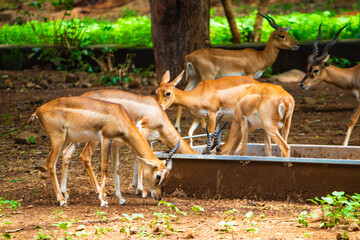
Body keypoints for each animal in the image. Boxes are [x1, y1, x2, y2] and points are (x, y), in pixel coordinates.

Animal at [30, 95, 179, 206]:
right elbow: (104, 168)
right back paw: (62, 200)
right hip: (58, 138)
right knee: (50, 163)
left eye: (167, 176)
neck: (119, 116)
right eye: (158, 176)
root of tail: (38, 111)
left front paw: (121, 199)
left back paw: (64, 195)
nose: (159, 197)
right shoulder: (106, 139)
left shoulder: (115, 144)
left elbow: (116, 168)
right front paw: (103, 200)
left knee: (59, 159)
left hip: (65, 139)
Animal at [58, 88, 197, 202]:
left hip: (77, 136)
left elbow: (140, 159)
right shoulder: (142, 132)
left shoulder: (148, 139)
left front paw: (136, 188)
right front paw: (141, 191)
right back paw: (99, 192)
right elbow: (140, 160)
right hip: (94, 139)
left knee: (66, 153)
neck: (159, 116)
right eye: (158, 176)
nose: (159, 197)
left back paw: (65, 193)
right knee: (85, 156)